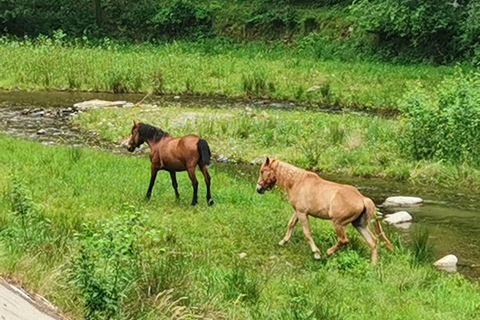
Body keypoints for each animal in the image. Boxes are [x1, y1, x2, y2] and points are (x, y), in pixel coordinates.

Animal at [256, 158, 392, 264]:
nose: (258, 189)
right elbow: (291, 224)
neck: (297, 182)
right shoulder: (298, 211)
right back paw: (373, 265)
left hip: (338, 223)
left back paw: (328, 252)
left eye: (262, 171)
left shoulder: (302, 213)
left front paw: (316, 253)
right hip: (359, 224)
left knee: (343, 240)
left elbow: (307, 233)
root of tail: (363, 199)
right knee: (373, 242)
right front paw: (282, 242)